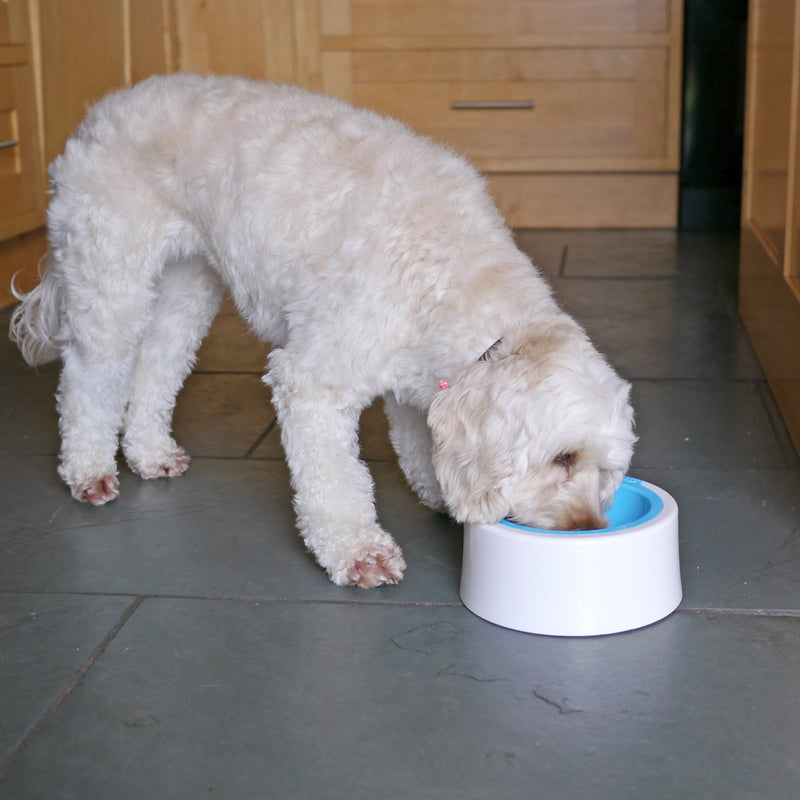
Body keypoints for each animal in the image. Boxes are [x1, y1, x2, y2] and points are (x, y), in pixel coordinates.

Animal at [9, 75, 636, 588]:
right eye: (563, 458)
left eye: (607, 472)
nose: (588, 527)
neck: (449, 271)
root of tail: (100, 110)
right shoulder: (311, 382)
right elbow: (334, 481)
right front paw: (357, 551)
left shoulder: (418, 380)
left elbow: (418, 443)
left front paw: (438, 492)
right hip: (108, 276)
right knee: (89, 376)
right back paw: (88, 470)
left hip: (187, 291)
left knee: (153, 367)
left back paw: (149, 453)